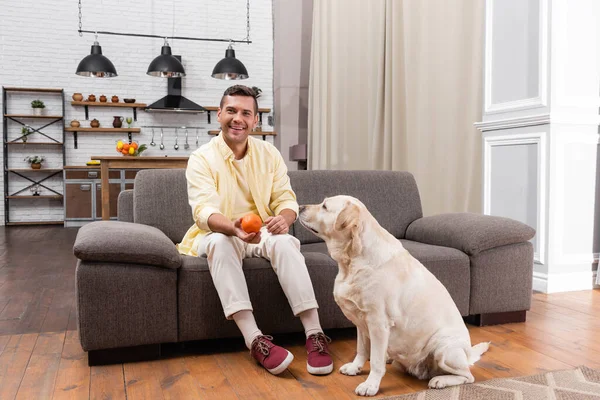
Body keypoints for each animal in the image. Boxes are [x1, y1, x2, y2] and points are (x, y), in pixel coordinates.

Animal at [298, 195, 490, 396]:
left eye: (325, 206)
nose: (299, 206)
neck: (352, 260)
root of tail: (467, 354)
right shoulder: (361, 321)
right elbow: (362, 349)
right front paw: (354, 367)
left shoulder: (378, 323)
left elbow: (375, 361)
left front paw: (370, 385)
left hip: (443, 347)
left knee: (467, 376)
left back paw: (440, 380)